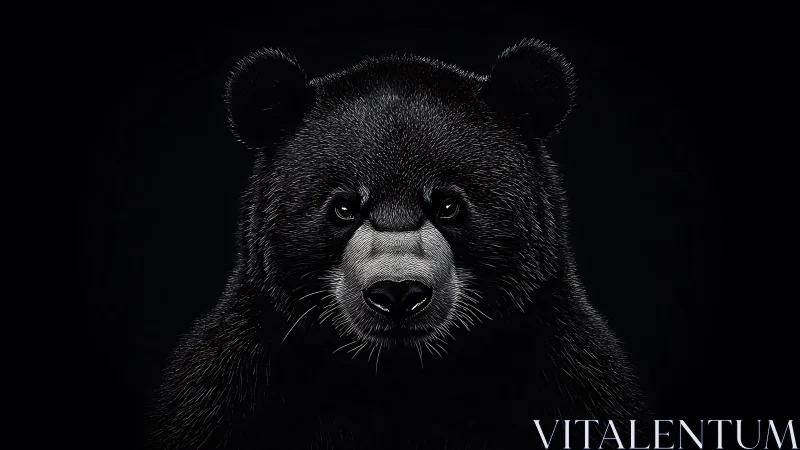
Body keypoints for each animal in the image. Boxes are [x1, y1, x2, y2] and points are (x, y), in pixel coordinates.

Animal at [148, 38, 652, 449]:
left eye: (448, 206)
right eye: (344, 208)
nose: (397, 293)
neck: (401, 375)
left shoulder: (567, 377)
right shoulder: (237, 385)